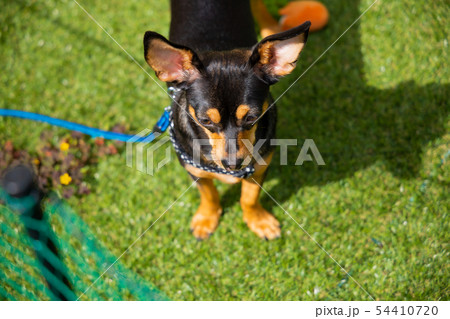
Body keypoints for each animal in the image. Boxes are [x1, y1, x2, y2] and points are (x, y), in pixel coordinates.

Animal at [144, 0, 310, 240]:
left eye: (252, 117)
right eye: (205, 120)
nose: (233, 164)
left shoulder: (259, 166)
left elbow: (249, 197)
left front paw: (258, 220)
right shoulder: (193, 169)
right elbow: (209, 195)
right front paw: (207, 219)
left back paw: (269, 26)